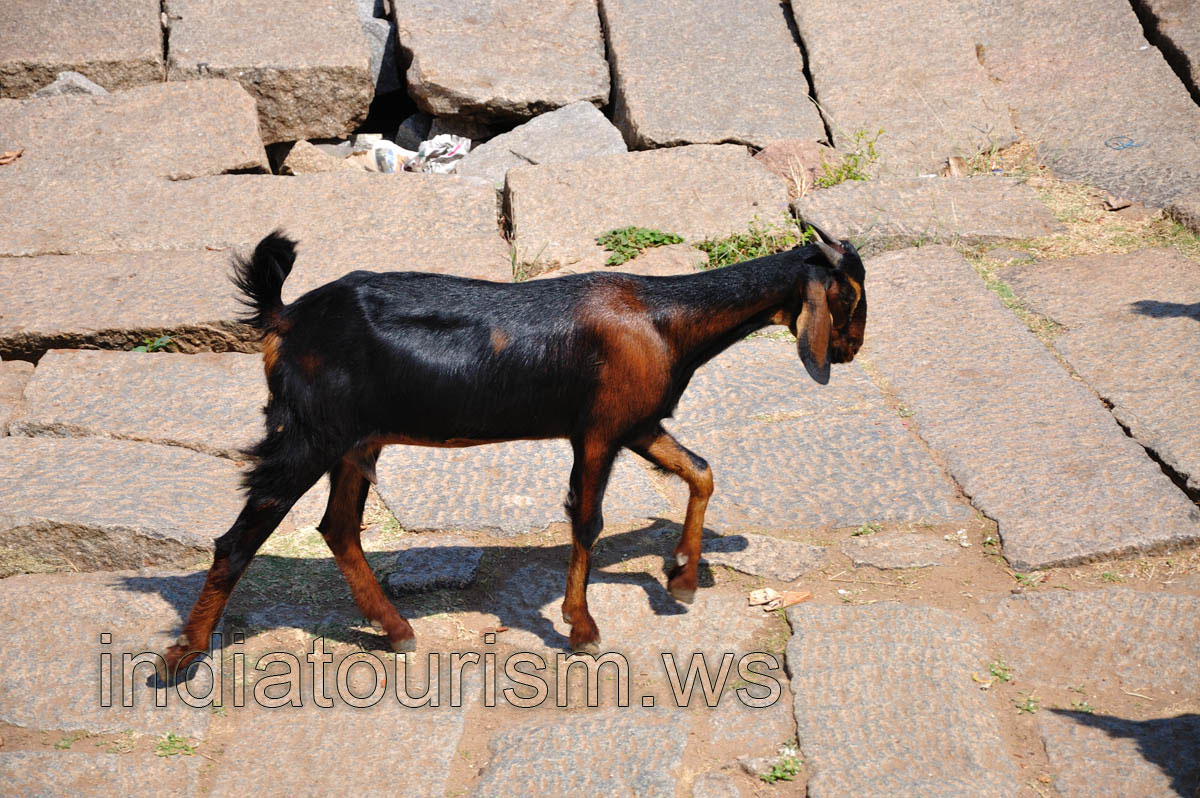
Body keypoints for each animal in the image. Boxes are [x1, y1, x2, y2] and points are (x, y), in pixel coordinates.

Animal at [160, 223, 866, 678]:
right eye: (851, 296)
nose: (852, 349)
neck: (667, 318)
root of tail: (284, 319)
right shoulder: (600, 429)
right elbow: (587, 520)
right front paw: (583, 629)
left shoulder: (637, 422)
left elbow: (701, 472)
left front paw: (683, 578)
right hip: (308, 435)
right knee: (239, 538)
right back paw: (182, 655)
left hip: (354, 443)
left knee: (338, 528)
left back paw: (397, 631)